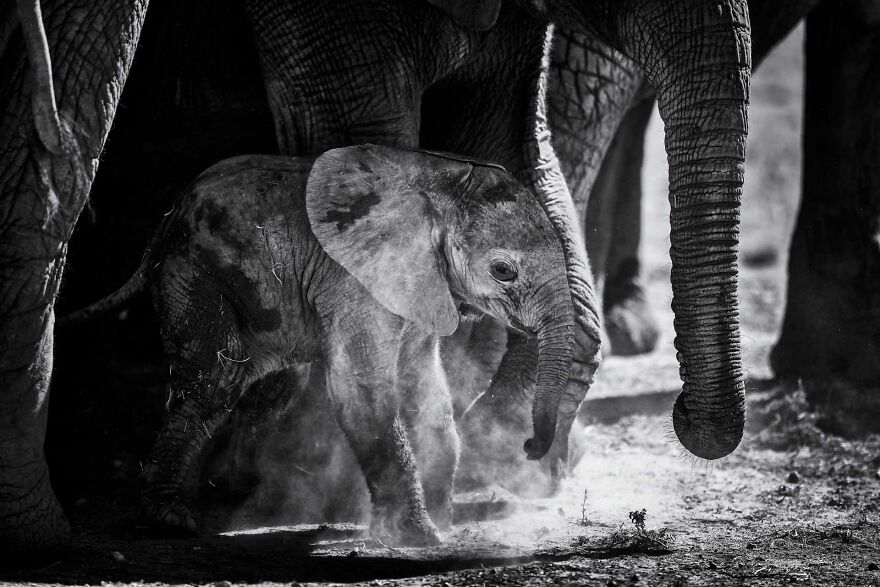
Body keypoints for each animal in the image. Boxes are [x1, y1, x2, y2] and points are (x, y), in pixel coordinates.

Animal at [0, 0, 751, 562]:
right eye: (503, 270)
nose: (535, 449)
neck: (434, 193)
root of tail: (167, 225)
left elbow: (425, 382)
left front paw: (453, 499)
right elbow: (365, 386)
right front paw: (420, 536)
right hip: (197, 274)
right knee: (215, 373)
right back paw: (172, 519)